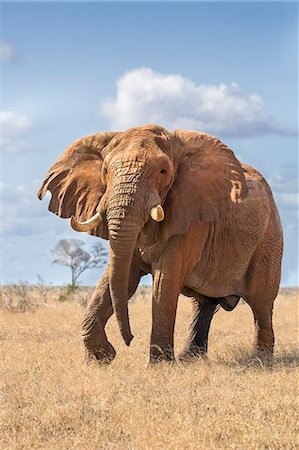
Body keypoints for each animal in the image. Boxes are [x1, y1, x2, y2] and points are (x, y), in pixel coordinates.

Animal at [38, 125, 284, 364]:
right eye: (105, 171)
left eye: (163, 171)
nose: (129, 340)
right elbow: (117, 278)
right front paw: (99, 359)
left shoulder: (191, 217)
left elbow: (165, 279)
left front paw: (160, 365)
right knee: (203, 303)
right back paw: (190, 359)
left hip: (269, 240)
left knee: (261, 303)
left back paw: (260, 360)